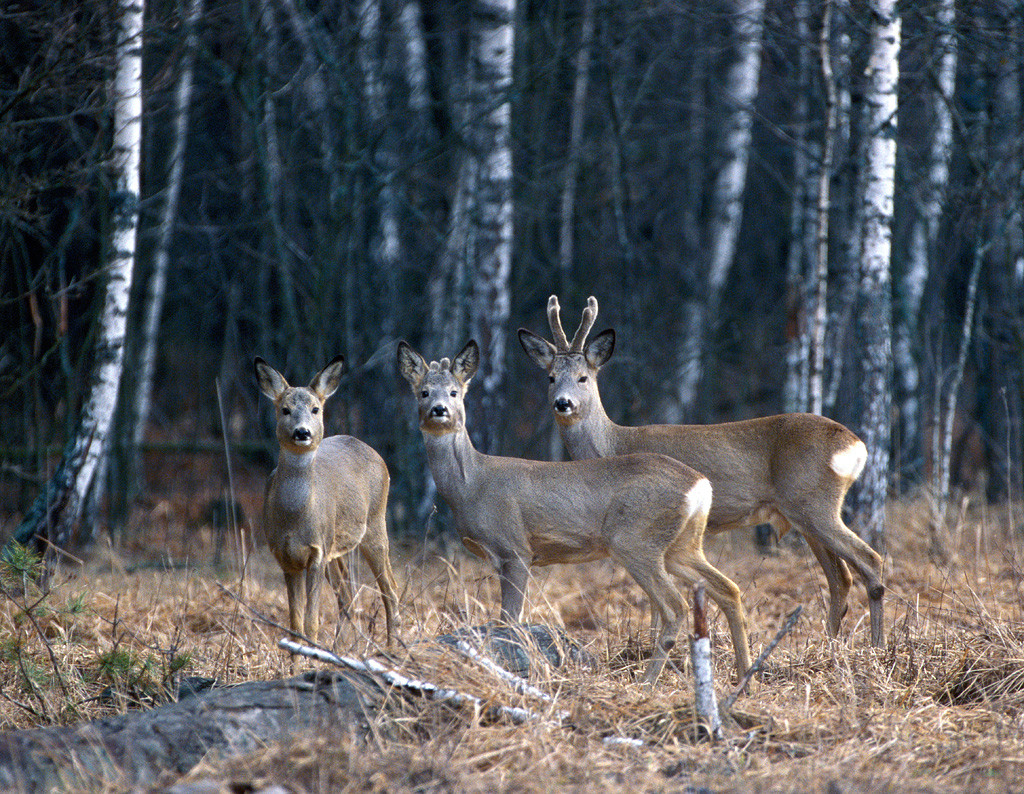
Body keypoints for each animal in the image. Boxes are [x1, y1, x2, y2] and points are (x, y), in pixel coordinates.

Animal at [256, 358, 399, 647]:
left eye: (315, 409)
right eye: (285, 409)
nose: (302, 432)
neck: (295, 517)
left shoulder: (318, 552)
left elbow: (311, 623)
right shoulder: (285, 556)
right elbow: (295, 624)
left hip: (375, 525)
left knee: (390, 589)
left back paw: (392, 648)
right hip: (338, 547)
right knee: (347, 593)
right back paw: (344, 647)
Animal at [399, 338, 753, 684]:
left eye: (454, 391)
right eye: (424, 391)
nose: (439, 410)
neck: (471, 484)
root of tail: (700, 484)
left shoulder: (515, 549)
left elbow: (508, 620)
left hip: (636, 541)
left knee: (675, 606)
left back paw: (646, 682)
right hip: (682, 545)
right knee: (728, 588)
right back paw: (744, 673)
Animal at [524, 295, 884, 647]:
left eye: (583, 377)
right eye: (551, 377)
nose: (563, 403)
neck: (612, 445)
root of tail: (856, 444)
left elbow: (655, 602)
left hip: (813, 503)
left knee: (869, 561)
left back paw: (877, 646)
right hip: (803, 514)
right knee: (840, 578)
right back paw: (831, 645)